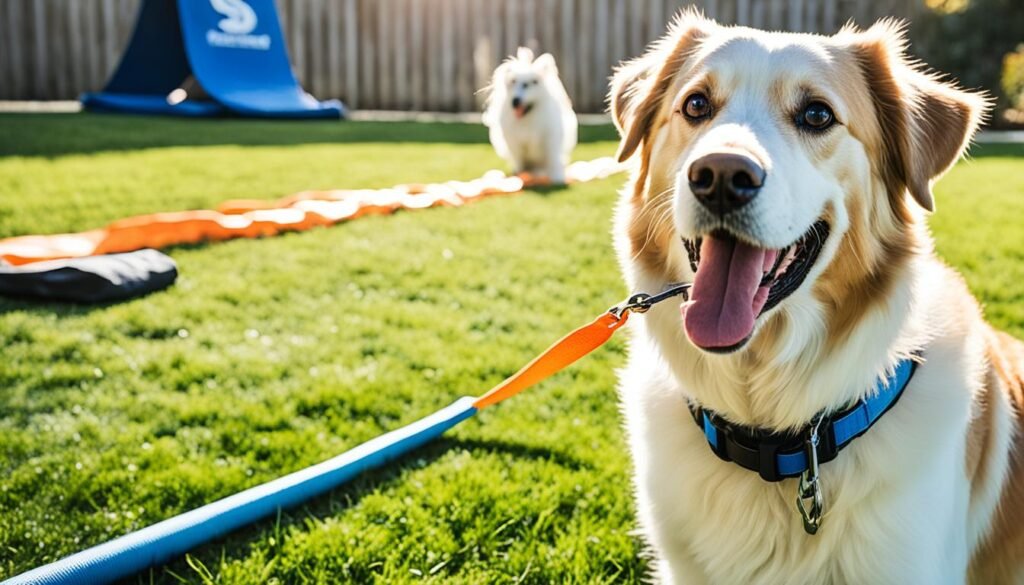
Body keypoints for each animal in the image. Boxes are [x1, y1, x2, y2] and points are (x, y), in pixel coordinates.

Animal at [485, 49, 581, 184]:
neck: (528, 119)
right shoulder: (514, 143)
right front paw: (518, 175)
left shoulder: (551, 138)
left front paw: (557, 177)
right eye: (513, 82)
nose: (515, 101)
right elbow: (519, 161)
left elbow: (553, 159)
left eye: (530, 83)